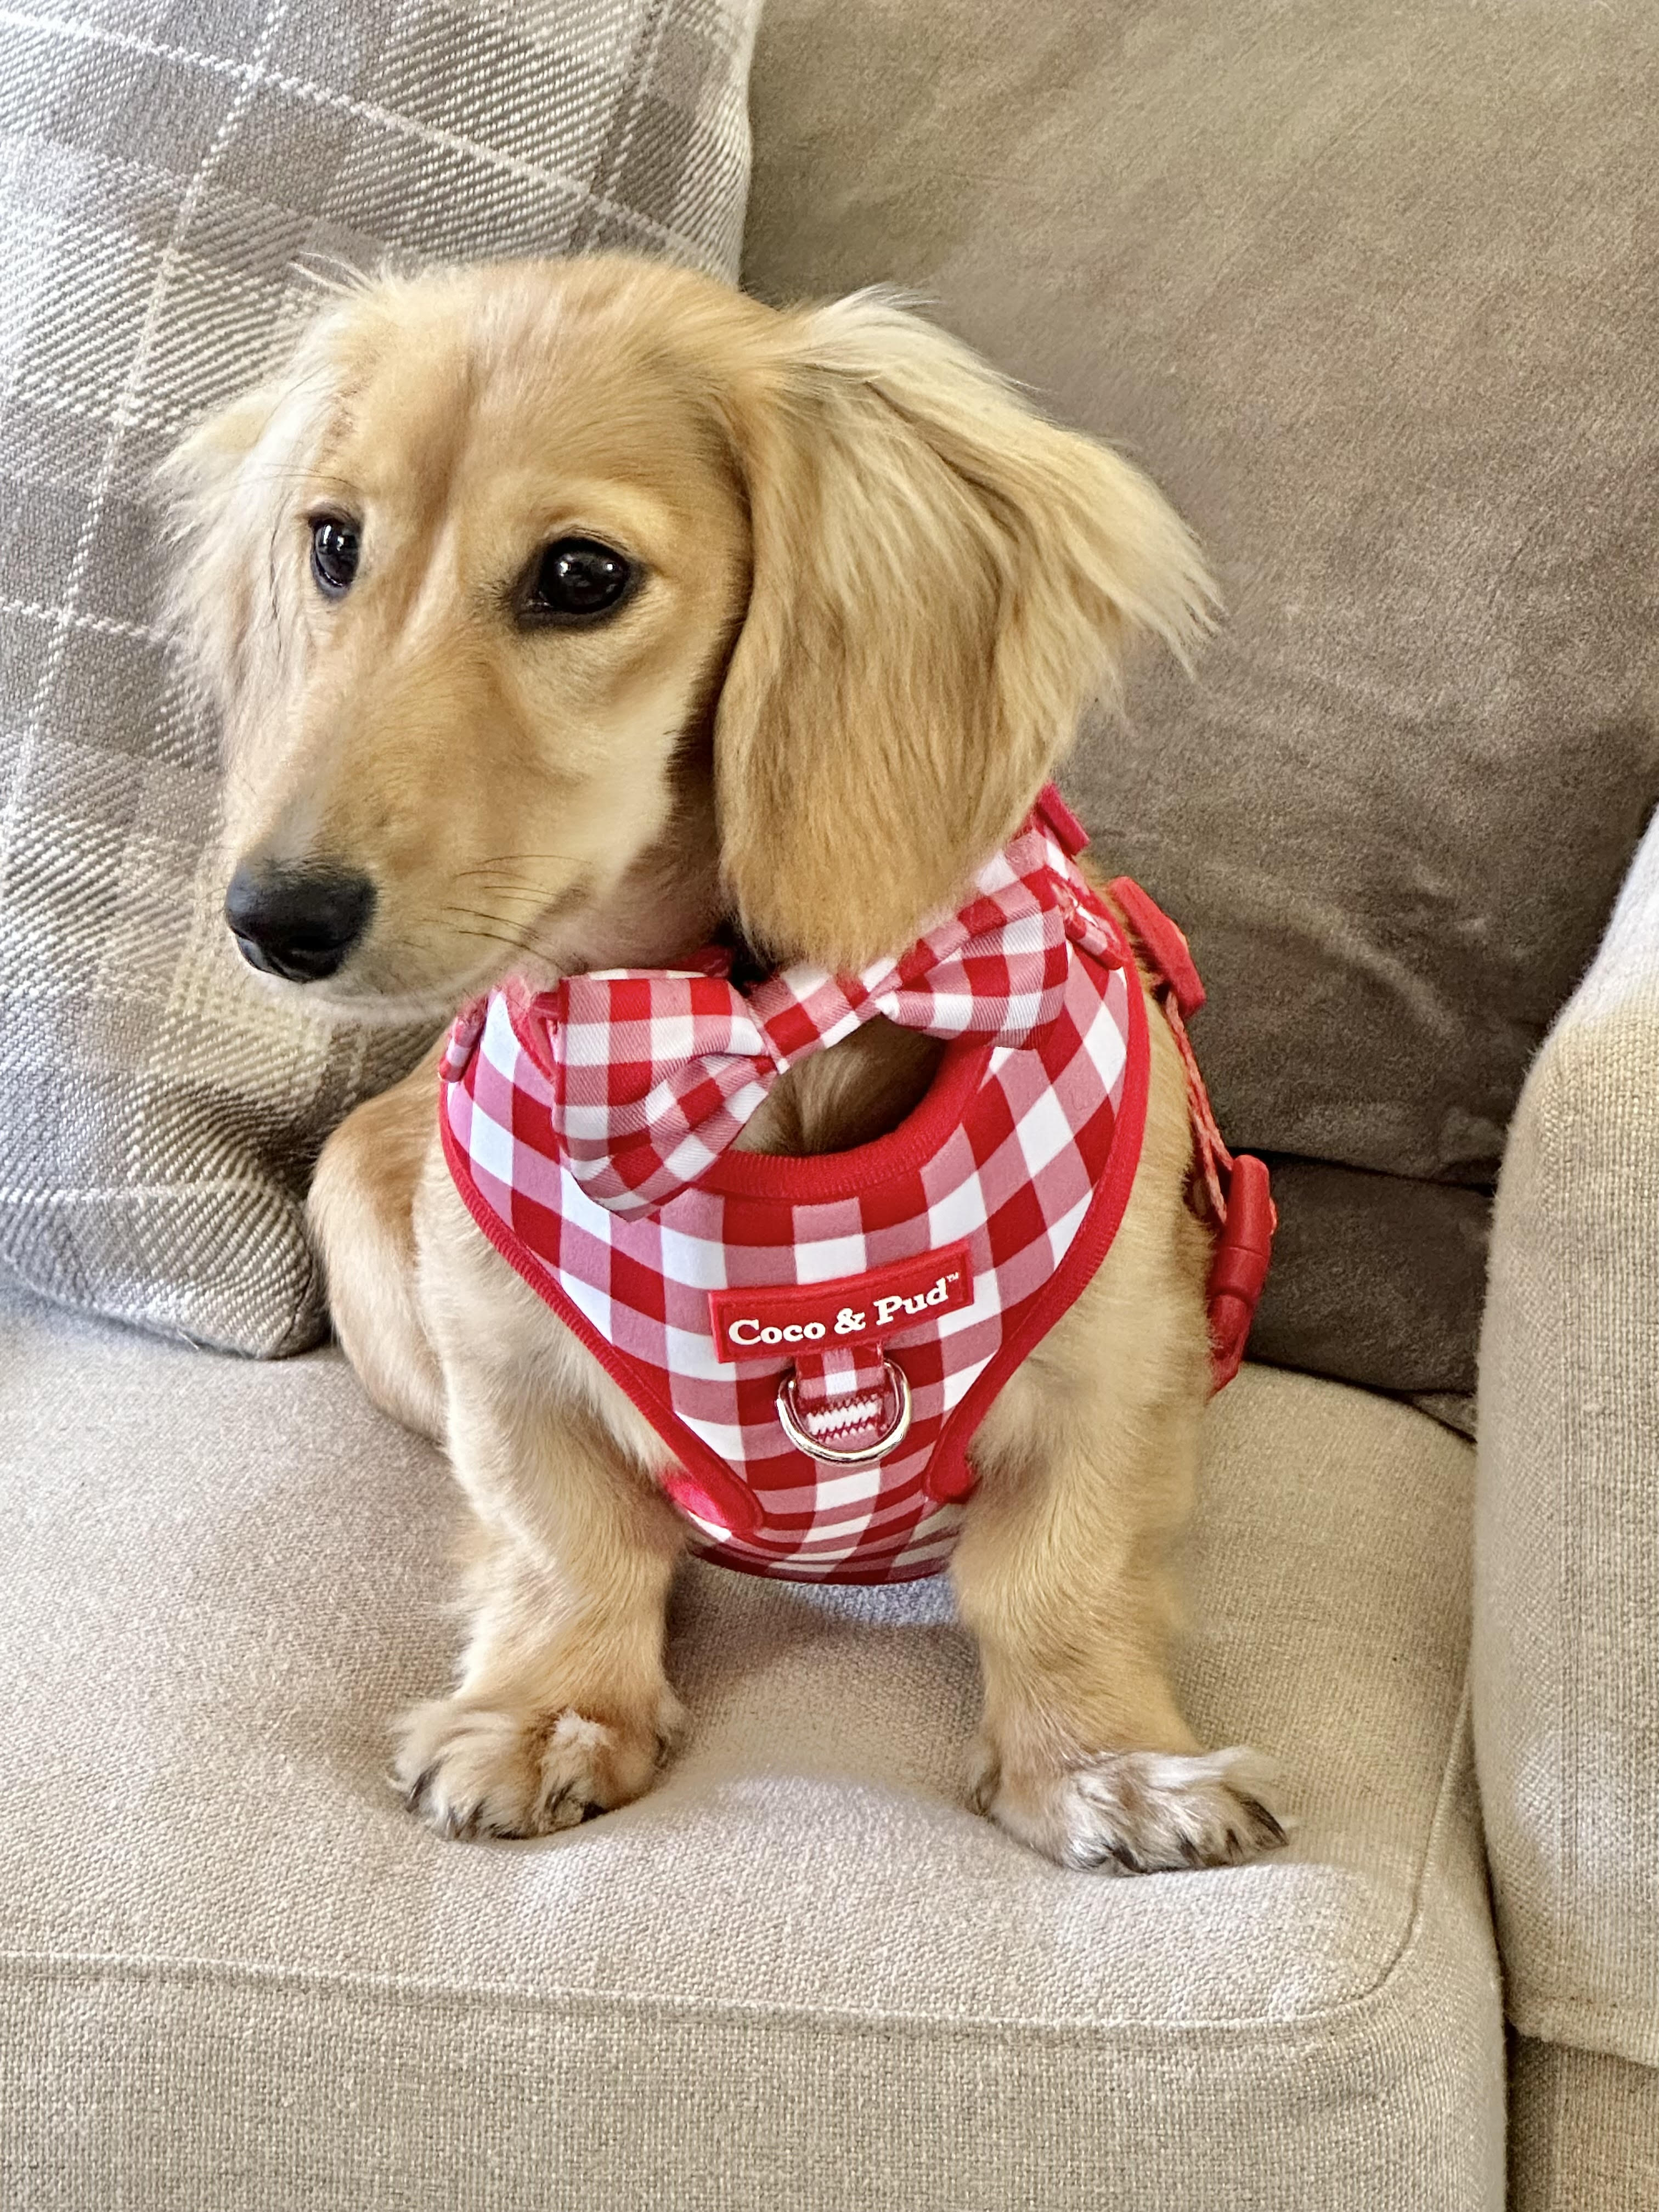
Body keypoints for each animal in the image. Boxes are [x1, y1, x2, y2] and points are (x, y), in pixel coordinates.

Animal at [169, 267, 1283, 1876]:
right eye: (332, 545)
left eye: (580, 576)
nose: (273, 919)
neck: (728, 1039)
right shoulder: (502, 1364)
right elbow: (565, 1549)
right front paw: (547, 1715)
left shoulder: (1122, 1371)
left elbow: (1058, 1579)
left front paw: (1107, 1762)